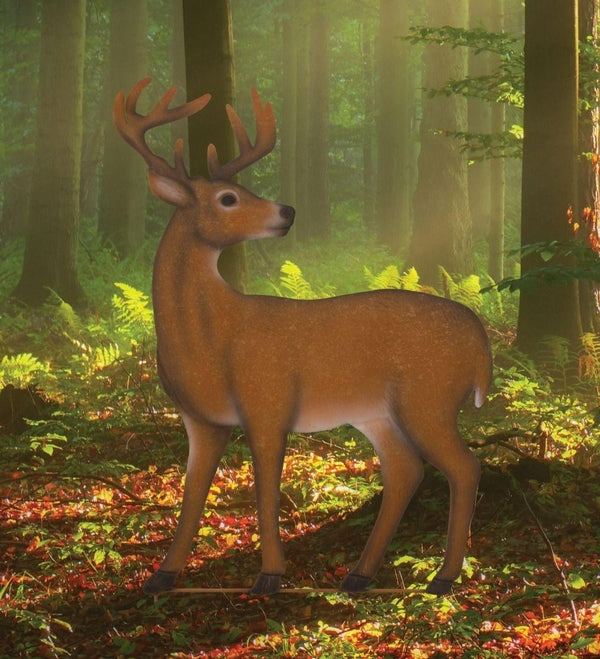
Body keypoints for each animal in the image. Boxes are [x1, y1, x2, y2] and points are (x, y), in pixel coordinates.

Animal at [113, 78, 492, 597]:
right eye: (228, 198)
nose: (288, 211)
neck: (207, 342)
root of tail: (481, 339)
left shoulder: (268, 401)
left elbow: (265, 490)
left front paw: (271, 574)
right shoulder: (200, 418)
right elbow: (192, 495)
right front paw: (163, 575)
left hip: (429, 394)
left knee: (464, 466)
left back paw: (443, 577)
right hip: (376, 411)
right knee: (406, 469)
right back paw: (360, 574)